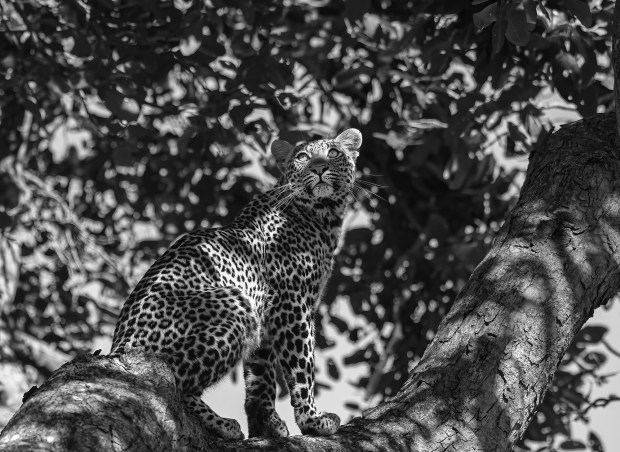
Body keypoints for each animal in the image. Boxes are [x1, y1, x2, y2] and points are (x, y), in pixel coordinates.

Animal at [110, 128, 362, 440]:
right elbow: (302, 366)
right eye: (303, 157)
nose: (318, 168)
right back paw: (219, 423)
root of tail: (118, 350)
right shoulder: (293, 304)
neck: (322, 217)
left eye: (333, 153)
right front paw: (312, 419)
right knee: (171, 384)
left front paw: (267, 423)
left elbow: (261, 375)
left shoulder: (267, 314)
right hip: (235, 306)